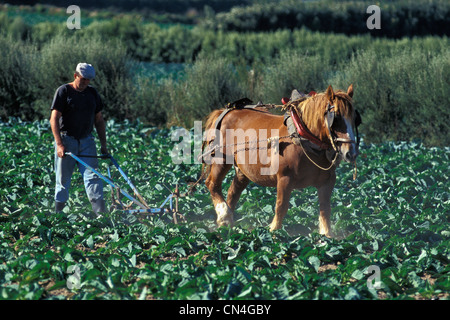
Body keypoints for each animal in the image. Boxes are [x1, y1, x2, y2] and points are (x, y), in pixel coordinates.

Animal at [200, 85, 358, 238]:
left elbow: (325, 209)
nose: (351, 153)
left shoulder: (327, 181)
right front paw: (274, 232)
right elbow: (281, 206)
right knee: (212, 184)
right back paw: (224, 214)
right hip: (221, 159)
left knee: (233, 192)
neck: (303, 138)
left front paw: (326, 236)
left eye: (355, 118)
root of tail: (226, 111)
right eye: (336, 118)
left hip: (242, 170)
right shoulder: (284, 178)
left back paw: (227, 224)